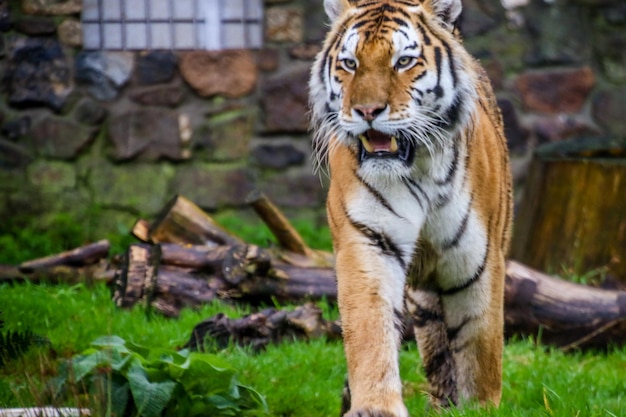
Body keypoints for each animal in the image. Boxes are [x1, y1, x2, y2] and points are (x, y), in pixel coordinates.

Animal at [308, 0, 512, 412]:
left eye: (403, 61)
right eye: (350, 63)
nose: (367, 111)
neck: (418, 166)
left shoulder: (479, 258)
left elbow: (481, 346)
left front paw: (479, 408)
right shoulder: (369, 239)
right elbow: (370, 330)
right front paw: (374, 407)